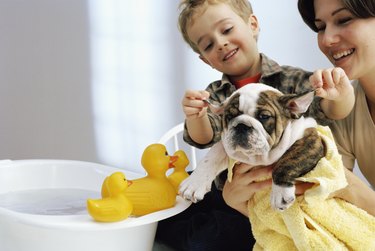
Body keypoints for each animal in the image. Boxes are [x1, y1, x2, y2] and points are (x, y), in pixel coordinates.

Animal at [181, 84, 324, 210]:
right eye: (229, 116)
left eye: (264, 116)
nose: (241, 125)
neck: (256, 158)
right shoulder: (226, 146)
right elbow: (211, 157)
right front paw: (194, 183)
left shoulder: (312, 140)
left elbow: (287, 162)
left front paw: (280, 193)